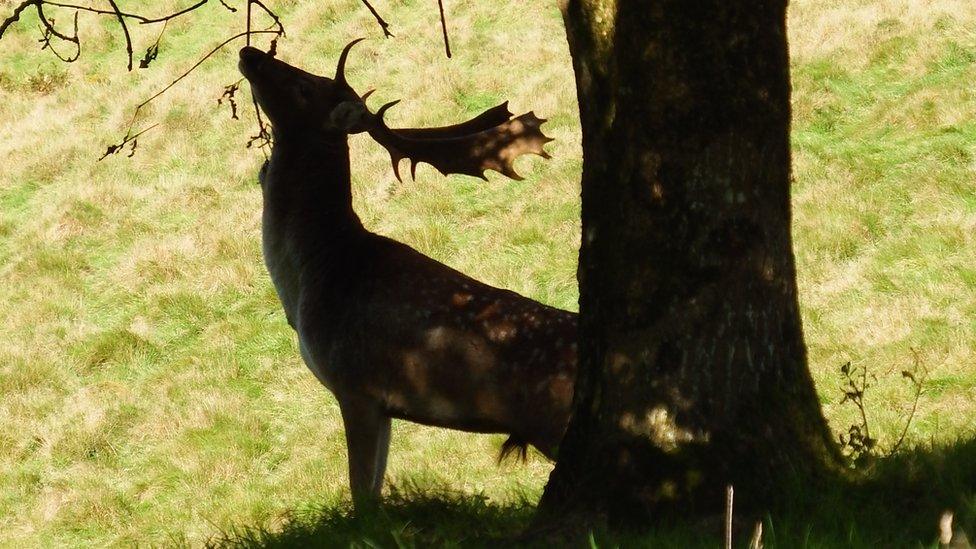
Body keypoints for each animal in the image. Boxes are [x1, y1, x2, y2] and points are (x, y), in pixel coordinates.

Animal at [239, 40, 580, 508]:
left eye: (305, 86)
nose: (250, 52)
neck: (313, 272)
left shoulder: (354, 384)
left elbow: (362, 496)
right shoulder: (383, 406)